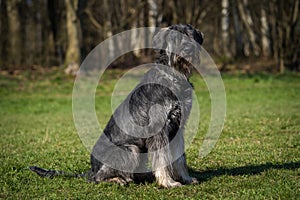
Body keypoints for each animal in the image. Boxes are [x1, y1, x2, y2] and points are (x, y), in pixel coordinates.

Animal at [29, 24, 204, 188]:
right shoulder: (159, 130)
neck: (173, 76)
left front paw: (186, 179)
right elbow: (162, 159)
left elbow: (180, 158)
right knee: (97, 178)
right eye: (175, 37)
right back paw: (117, 179)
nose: (188, 49)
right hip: (130, 149)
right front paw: (168, 182)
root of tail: (92, 169)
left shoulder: (178, 127)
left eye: (191, 36)